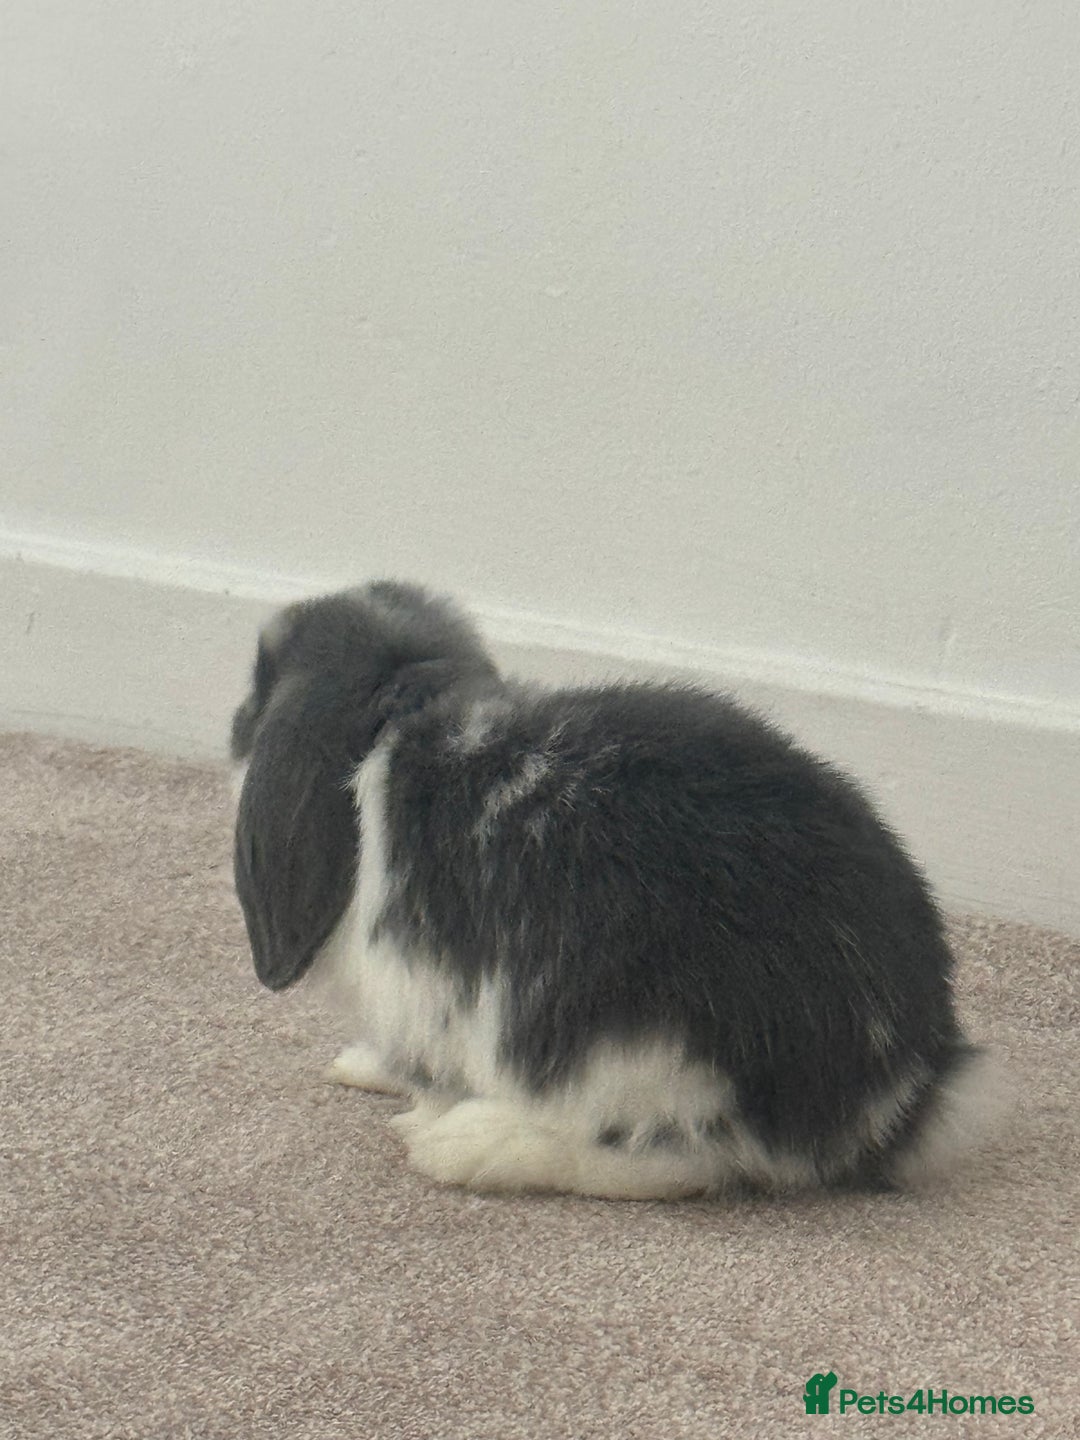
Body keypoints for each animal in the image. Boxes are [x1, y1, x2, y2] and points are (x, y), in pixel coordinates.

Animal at [230, 580, 998, 1200]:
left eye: (258, 686)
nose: (238, 724)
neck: (398, 725)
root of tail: (897, 1086)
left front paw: (418, 1112)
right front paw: (355, 1065)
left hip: (639, 1055)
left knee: (680, 1163)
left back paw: (467, 1147)